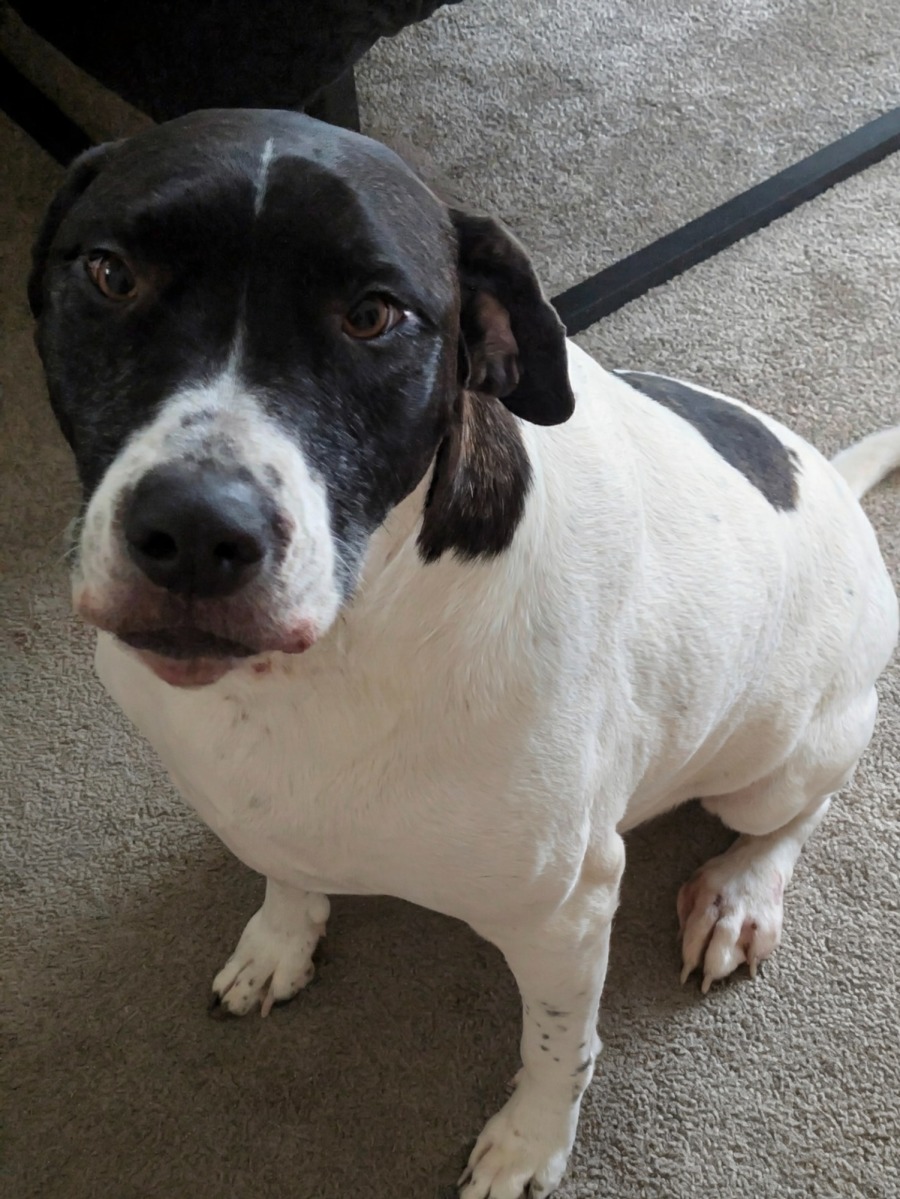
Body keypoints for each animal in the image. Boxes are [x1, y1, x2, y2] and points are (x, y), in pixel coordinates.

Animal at [29, 108, 900, 1199]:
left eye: (373, 314)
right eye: (110, 274)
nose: (194, 531)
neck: (336, 651)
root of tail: (832, 479)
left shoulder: (567, 911)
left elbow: (557, 1046)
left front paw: (530, 1140)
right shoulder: (249, 801)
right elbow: (281, 868)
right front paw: (280, 936)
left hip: (779, 759)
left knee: (796, 811)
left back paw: (739, 892)